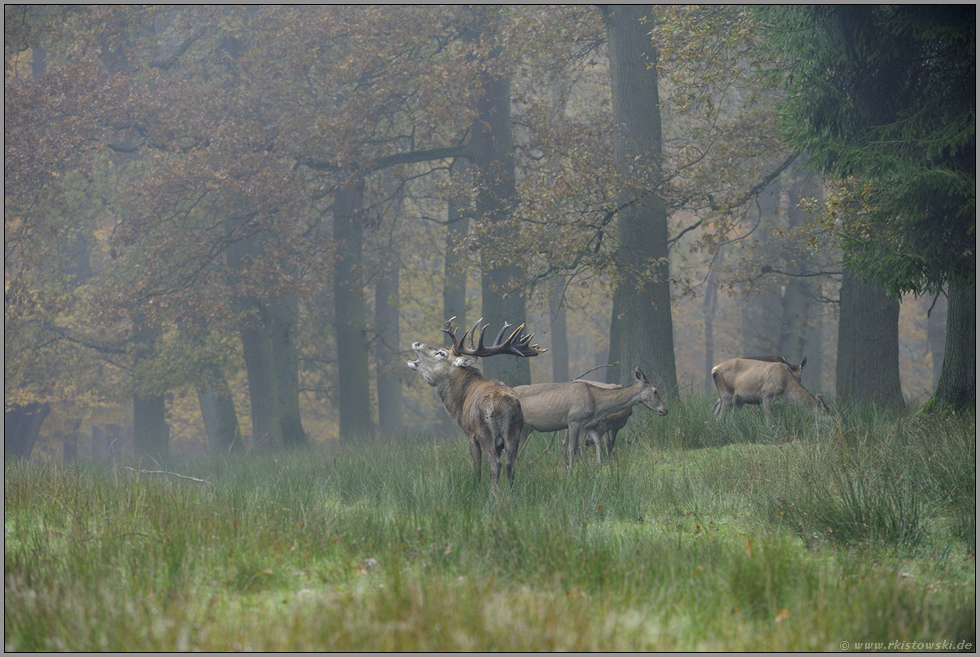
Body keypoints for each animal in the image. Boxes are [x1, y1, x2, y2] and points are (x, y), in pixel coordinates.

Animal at [406, 318, 544, 486]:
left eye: (441, 353)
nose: (416, 343)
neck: (461, 401)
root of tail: (498, 404)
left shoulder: (470, 435)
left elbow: (476, 468)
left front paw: (475, 487)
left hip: (483, 432)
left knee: (495, 463)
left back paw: (492, 493)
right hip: (514, 431)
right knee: (510, 465)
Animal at [512, 366, 668, 468]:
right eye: (655, 391)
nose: (665, 410)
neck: (596, 403)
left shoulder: (587, 424)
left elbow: (590, 443)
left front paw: (593, 467)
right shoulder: (574, 420)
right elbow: (572, 447)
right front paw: (571, 472)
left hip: (526, 429)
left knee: (516, 451)